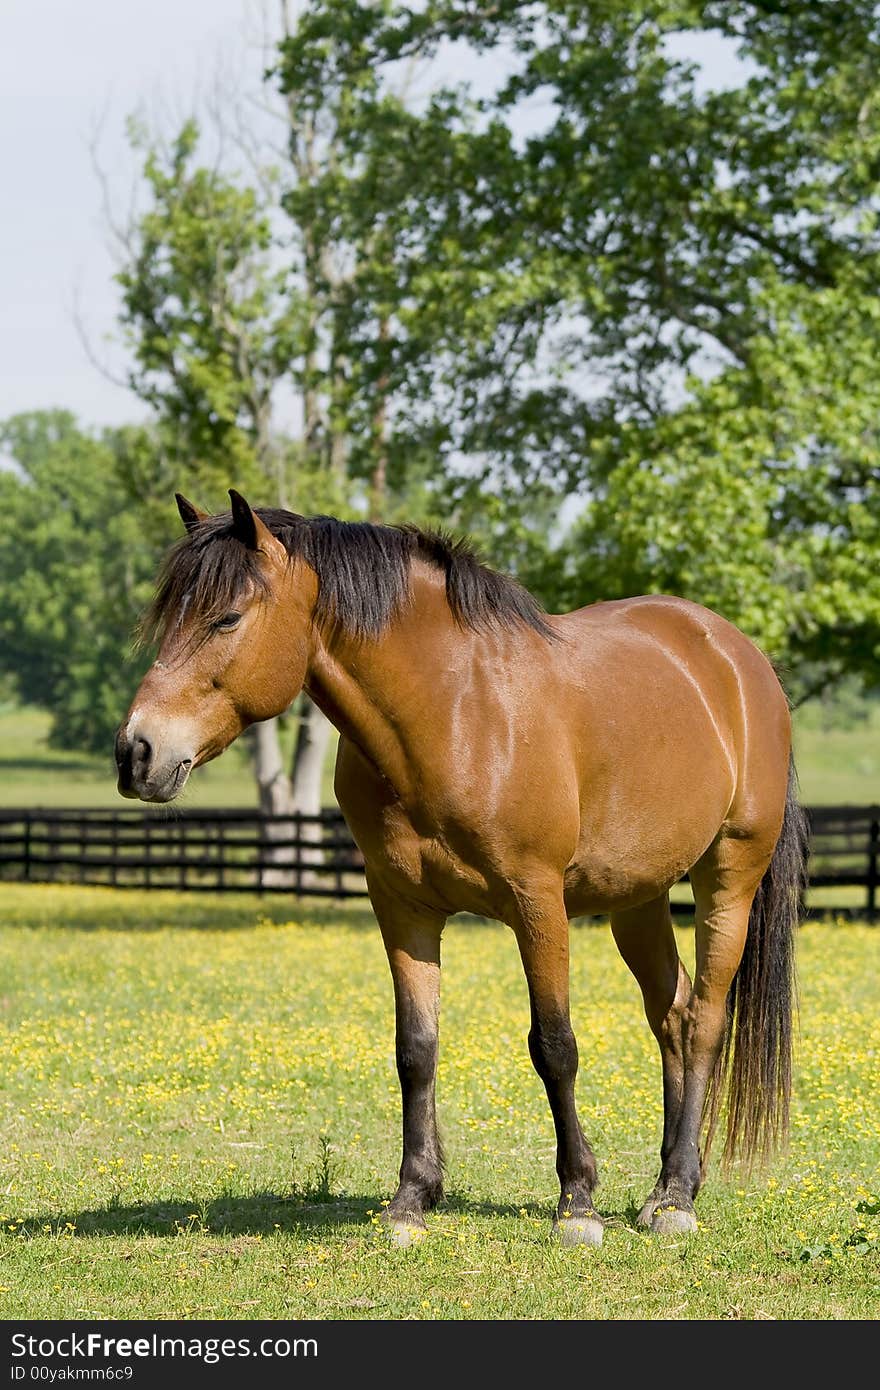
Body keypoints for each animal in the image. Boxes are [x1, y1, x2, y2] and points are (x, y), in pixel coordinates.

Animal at [118, 492, 811, 1251]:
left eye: (227, 618)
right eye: (168, 617)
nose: (137, 753)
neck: (455, 716)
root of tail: (739, 659)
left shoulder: (538, 903)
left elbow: (555, 1045)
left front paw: (578, 1204)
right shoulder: (403, 907)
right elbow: (416, 1048)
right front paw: (411, 1200)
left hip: (729, 877)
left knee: (708, 1018)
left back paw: (680, 1197)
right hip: (639, 897)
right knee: (674, 1017)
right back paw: (663, 1188)